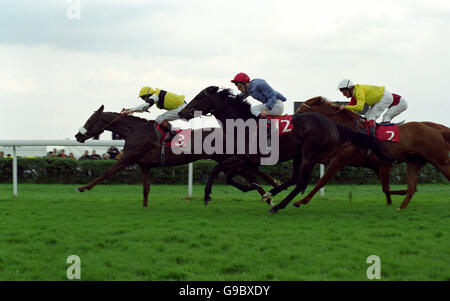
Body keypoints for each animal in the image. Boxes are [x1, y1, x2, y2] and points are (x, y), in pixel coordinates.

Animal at [73, 104, 284, 205]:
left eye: (90, 120)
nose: (77, 136)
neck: (135, 130)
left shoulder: (127, 158)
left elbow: (106, 173)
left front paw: (82, 187)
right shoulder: (145, 165)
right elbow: (146, 189)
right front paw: (144, 207)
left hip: (226, 158)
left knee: (250, 172)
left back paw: (269, 193)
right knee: (251, 172)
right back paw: (270, 191)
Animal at [178, 85, 392, 211]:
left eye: (199, 97)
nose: (182, 112)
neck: (242, 125)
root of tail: (333, 125)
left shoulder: (242, 158)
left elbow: (217, 170)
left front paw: (207, 196)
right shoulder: (245, 160)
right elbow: (229, 176)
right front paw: (255, 189)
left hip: (309, 154)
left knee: (301, 182)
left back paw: (278, 205)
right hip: (299, 155)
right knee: (296, 179)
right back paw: (273, 196)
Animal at [296, 96, 450, 209]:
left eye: (302, 111)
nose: (293, 119)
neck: (351, 131)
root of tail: (436, 129)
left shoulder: (341, 159)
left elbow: (322, 180)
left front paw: (301, 201)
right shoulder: (377, 165)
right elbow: (385, 188)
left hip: (439, 159)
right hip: (415, 161)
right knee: (412, 186)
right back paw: (402, 206)